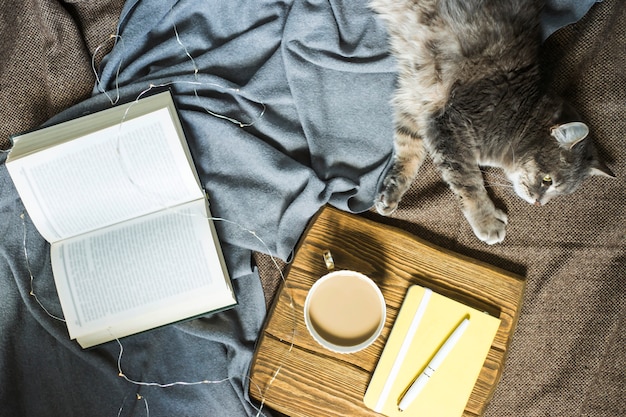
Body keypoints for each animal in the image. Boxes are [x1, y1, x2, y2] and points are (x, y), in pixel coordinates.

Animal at [368, 0, 612, 244]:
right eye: (547, 180)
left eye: (559, 193)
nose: (538, 203)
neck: (518, 112)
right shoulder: (448, 125)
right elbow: (468, 182)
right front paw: (486, 221)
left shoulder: (416, 104)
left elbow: (408, 153)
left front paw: (389, 194)